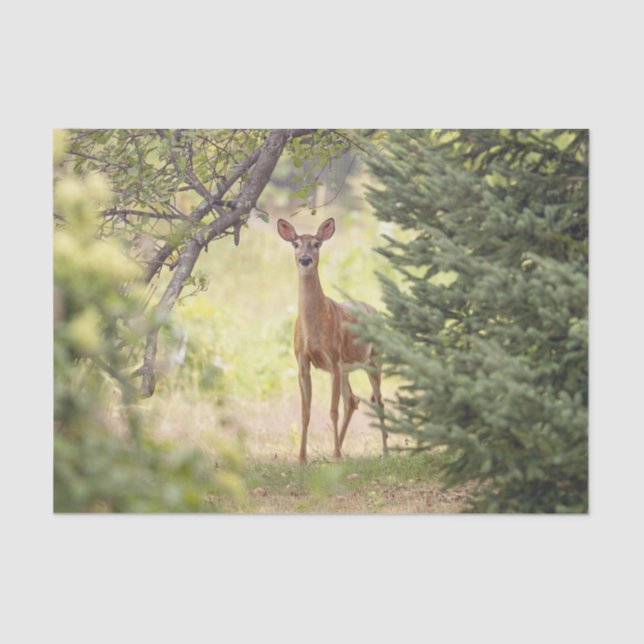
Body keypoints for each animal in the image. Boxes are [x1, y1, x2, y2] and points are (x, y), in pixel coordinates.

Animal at [277, 216, 388, 464]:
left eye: (317, 243)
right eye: (295, 243)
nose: (305, 259)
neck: (314, 327)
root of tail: (375, 311)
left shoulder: (334, 358)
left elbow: (332, 410)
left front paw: (335, 455)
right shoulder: (302, 362)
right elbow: (305, 412)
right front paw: (302, 458)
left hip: (374, 360)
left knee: (378, 401)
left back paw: (384, 450)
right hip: (347, 368)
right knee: (353, 400)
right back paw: (338, 449)